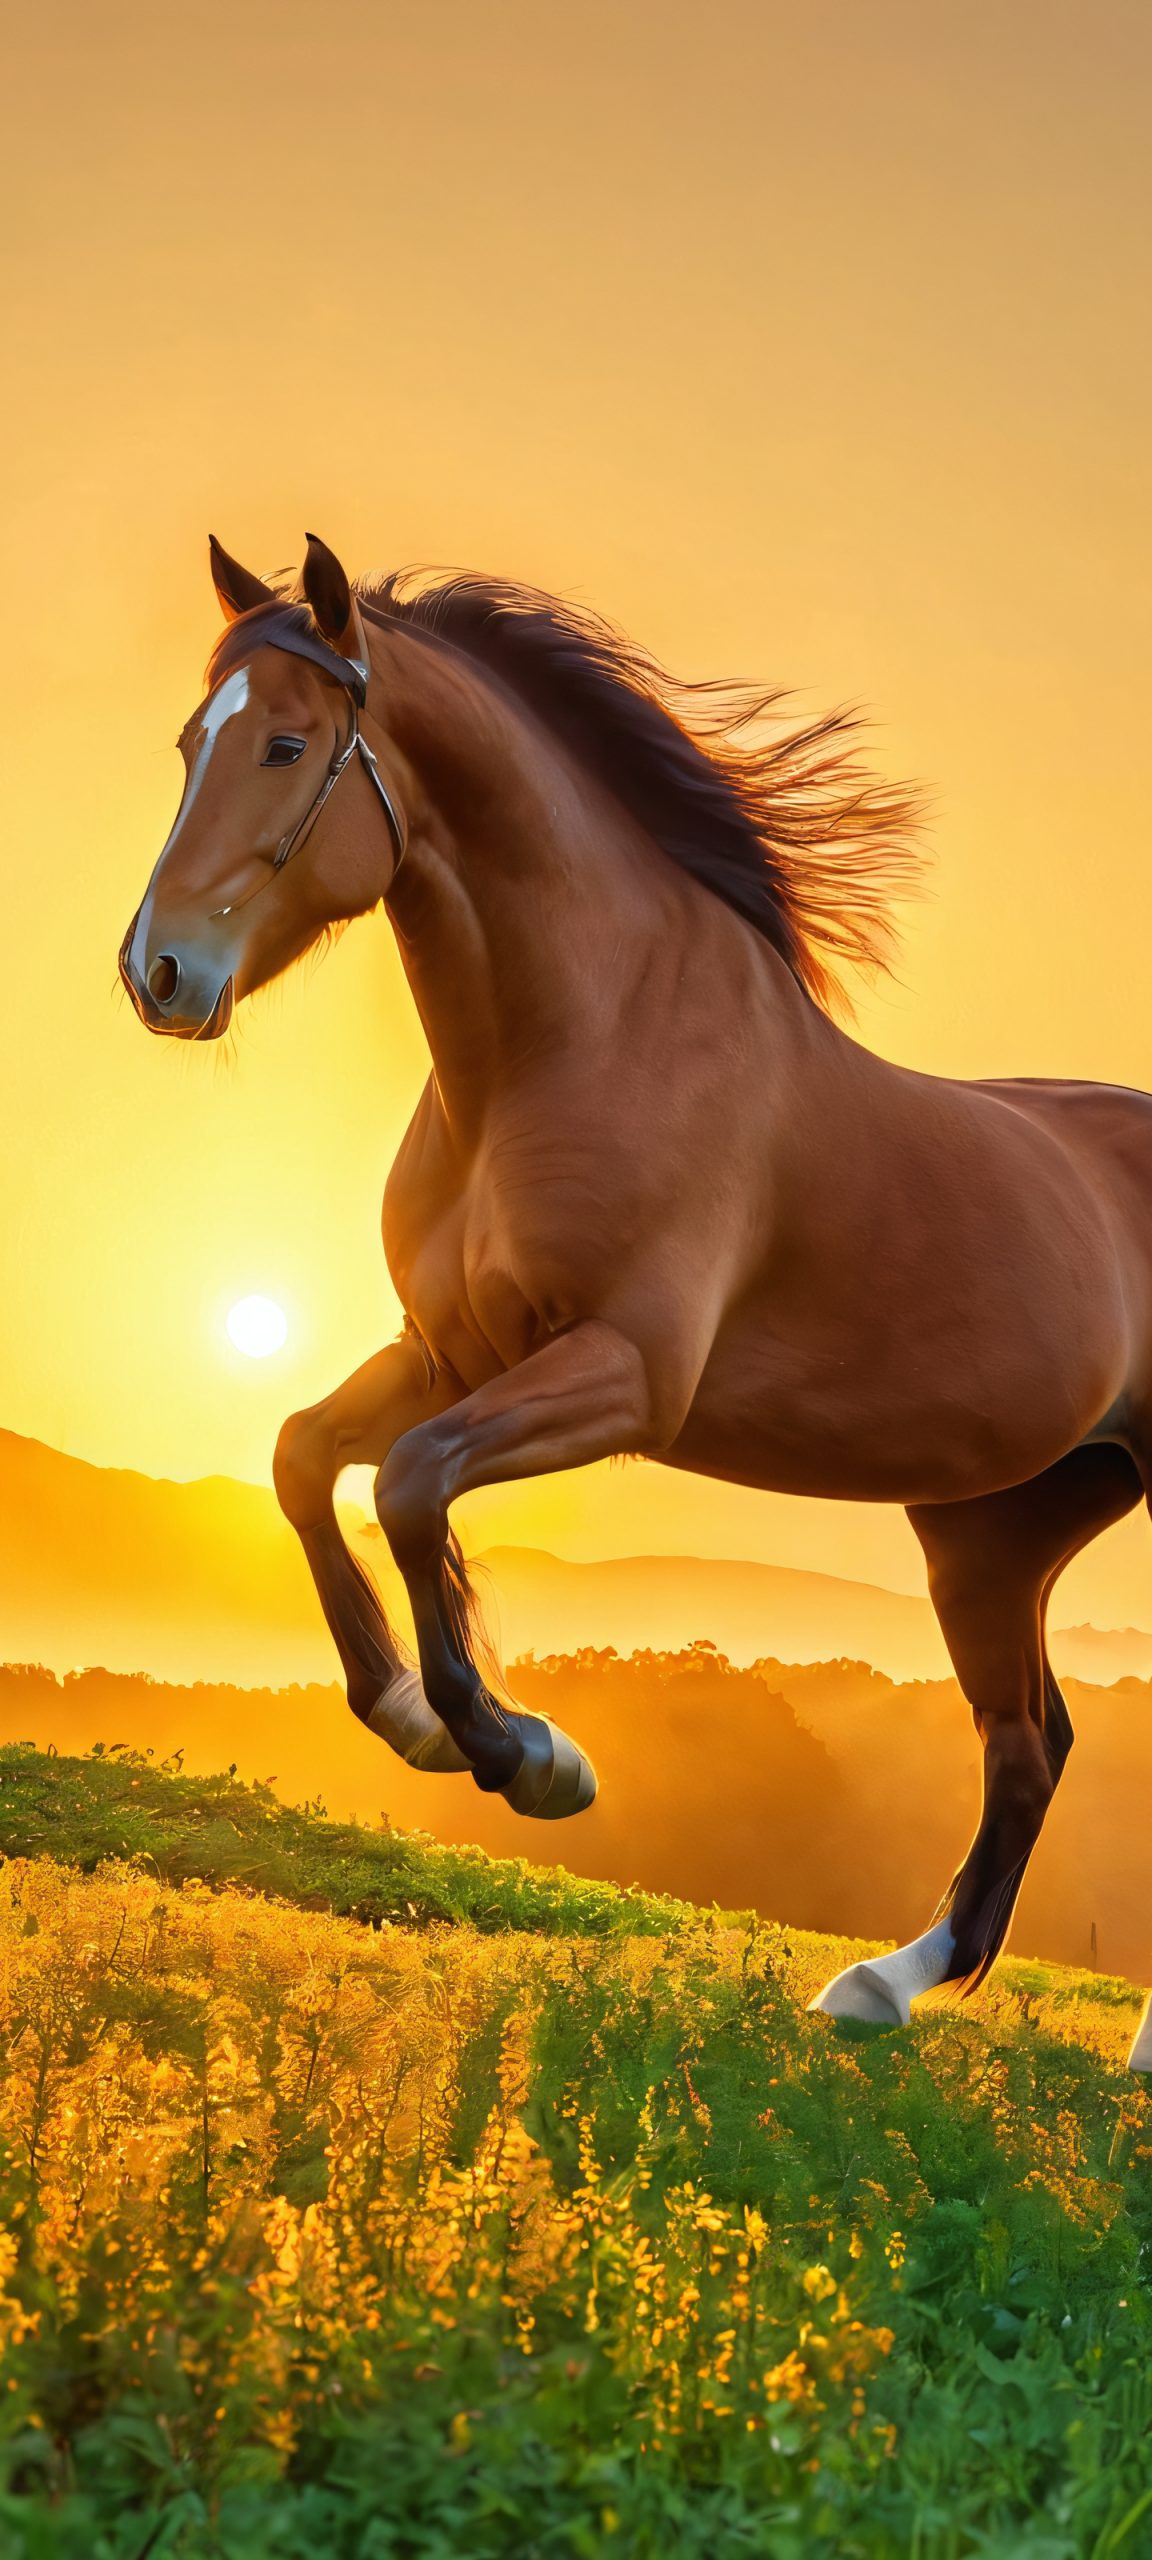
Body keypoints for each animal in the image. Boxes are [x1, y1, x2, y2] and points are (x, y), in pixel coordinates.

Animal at [120, 531, 1152, 2069]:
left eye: (287, 744)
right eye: (196, 739)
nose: (159, 972)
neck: (580, 1039)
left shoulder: (623, 1374)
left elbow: (413, 1484)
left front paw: (528, 1755)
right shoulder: (451, 1351)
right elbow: (306, 1458)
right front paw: (418, 1721)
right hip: (993, 1529)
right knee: (1031, 1745)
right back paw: (881, 1985)